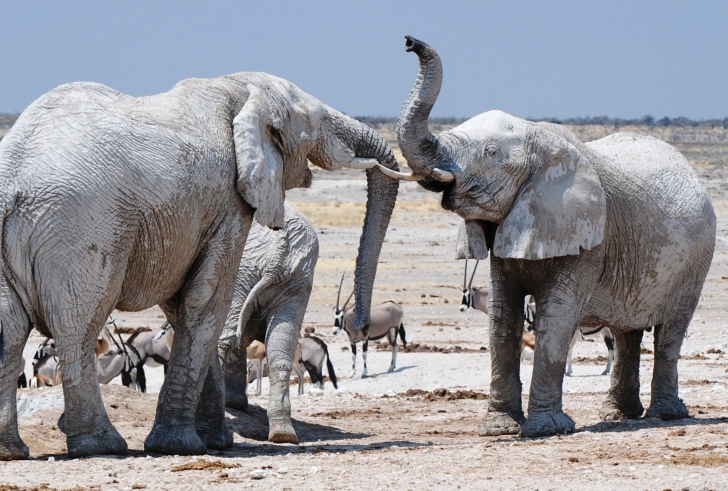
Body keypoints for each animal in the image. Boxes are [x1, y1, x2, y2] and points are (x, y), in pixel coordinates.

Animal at [216, 202, 318, 444]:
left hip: (242, 268)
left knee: (223, 338)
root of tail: (278, 255)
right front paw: (235, 402)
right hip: (297, 281)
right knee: (279, 350)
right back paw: (283, 433)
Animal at [384, 37, 712, 438]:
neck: (540, 138)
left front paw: (546, 429)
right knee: (626, 332)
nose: (408, 42)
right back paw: (618, 415)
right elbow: (501, 317)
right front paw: (498, 430)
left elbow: (556, 318)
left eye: (490, 153)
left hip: (697, 257)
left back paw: (664, 415)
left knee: (670, 332)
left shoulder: (588, 237)